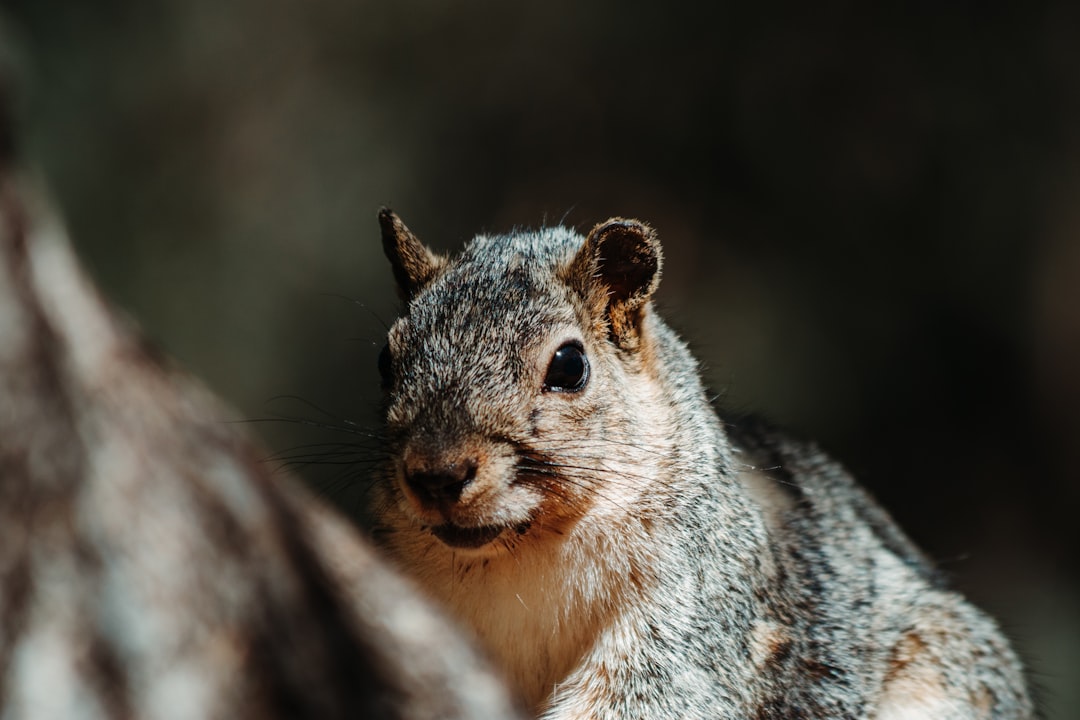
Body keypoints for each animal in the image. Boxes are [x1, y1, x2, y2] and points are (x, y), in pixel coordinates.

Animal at [367, 209, 1032, 720]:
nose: (437, 473)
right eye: (386, 360)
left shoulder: (695, 605)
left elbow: (655, 696)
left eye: (569, 366)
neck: (520, 557)